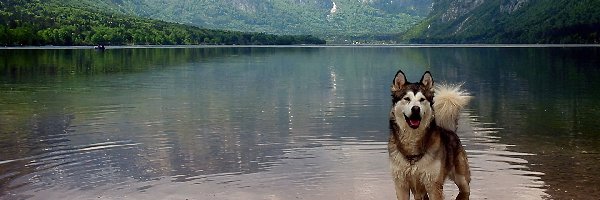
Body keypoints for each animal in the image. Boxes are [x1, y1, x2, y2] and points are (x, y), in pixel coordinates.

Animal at [390, 70, 474, 200]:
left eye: (422, 99)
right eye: (407, 98)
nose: (416, 109)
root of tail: (450, 130)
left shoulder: (433, 185)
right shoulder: (401, 185)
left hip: (462, 179)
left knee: (465, 189)